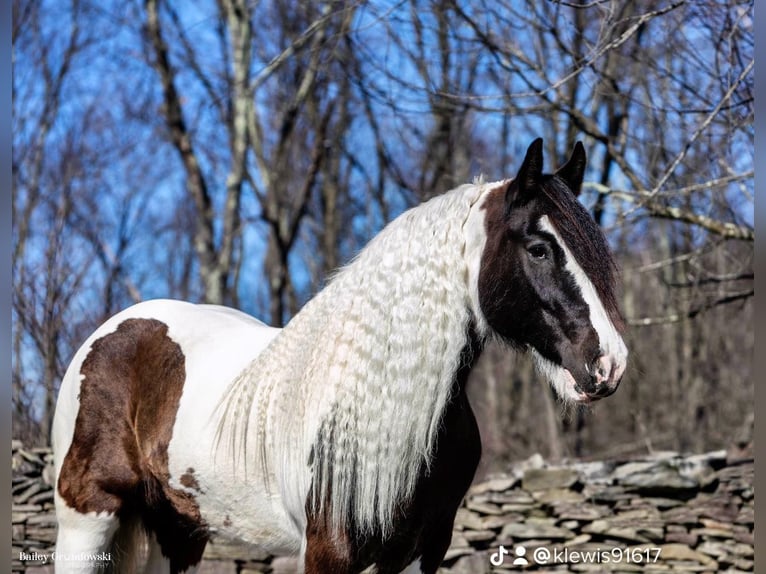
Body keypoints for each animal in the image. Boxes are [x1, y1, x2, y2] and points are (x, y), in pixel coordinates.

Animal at [52, 137, 632, 572]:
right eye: (539, 248)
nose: (608, 364)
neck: (381, 400)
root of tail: (110, 333)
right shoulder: (329, 553)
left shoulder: (420, 551)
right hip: (88, 522)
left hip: (179, 531)